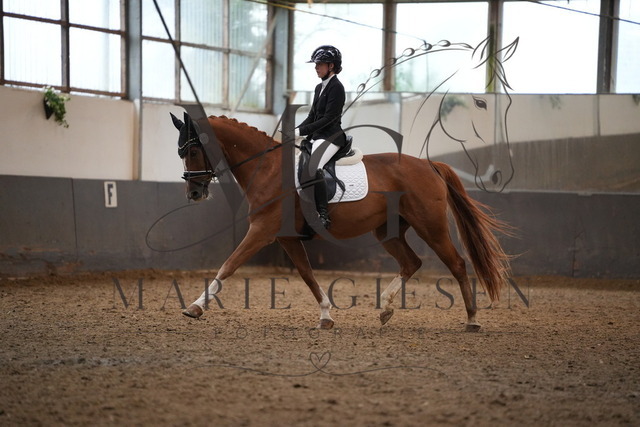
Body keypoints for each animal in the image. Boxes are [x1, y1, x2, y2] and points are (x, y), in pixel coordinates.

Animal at [171, 110, 512, 332]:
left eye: (193, 150)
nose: (194, 193)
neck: (266, 168)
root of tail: (430, 165)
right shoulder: (287, 238)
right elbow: (307, 275)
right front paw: (326, 316)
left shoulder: (262, 231)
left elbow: (228, 266)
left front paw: (195, 307)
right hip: (387, 232)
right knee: (411, 263)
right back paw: (386, 309)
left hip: (432, 227)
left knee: (457, 264)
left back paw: (472, 320)